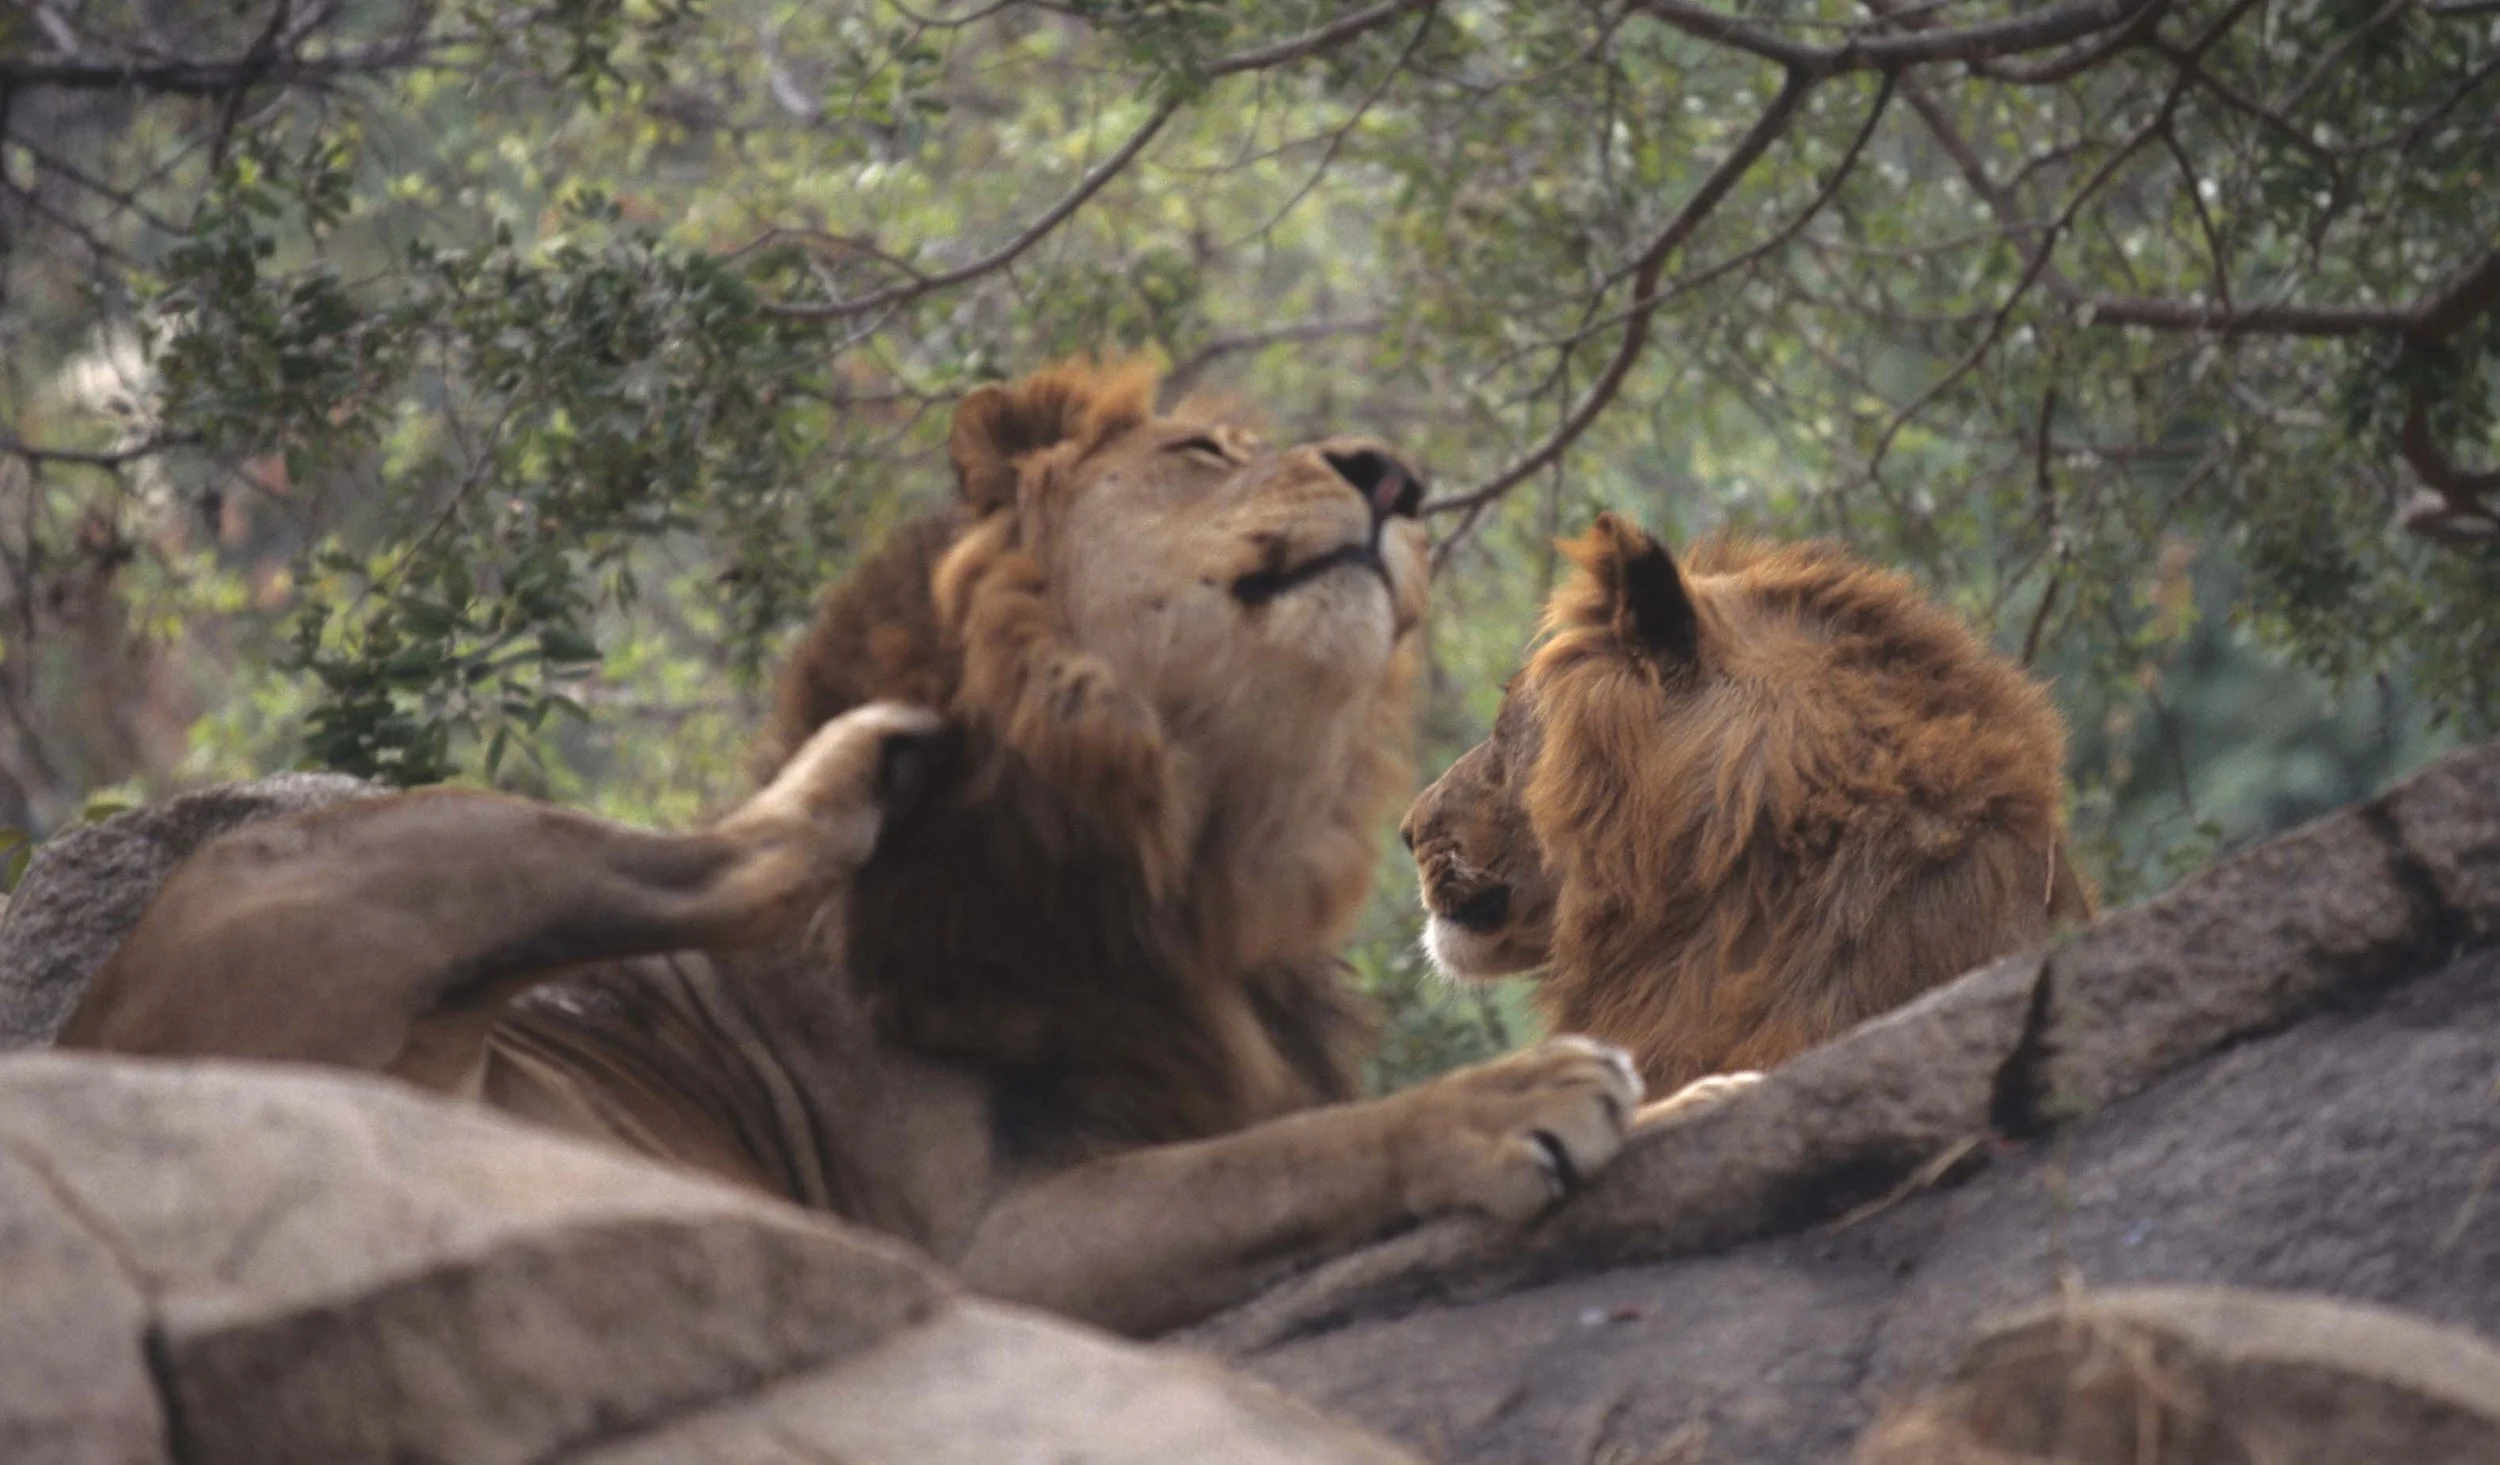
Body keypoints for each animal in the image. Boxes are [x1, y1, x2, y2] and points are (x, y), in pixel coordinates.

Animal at [59, 363, 1642, 1338]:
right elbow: (1284, 1156)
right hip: (414, 845)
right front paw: (1517, 1098)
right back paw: (870, 752)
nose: (1398, 480)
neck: (1192, 833)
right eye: (1200, 451)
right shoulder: (986, 1250)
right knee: (720, 857)